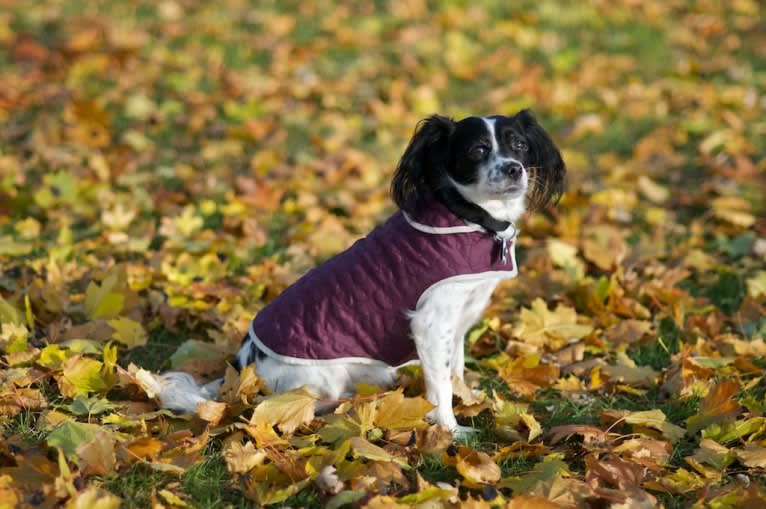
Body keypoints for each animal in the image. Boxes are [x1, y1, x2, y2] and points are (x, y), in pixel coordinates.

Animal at [154, 110, 564, 432]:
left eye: (520, 145)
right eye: (477, 150)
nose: (514, 169)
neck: (469, 216)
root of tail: (242, 362)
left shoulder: (460, 317)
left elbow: (456, 370)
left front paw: (469, 399)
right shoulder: (430, 324)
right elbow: (440, 385)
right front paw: (449, 429)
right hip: (321, 377)